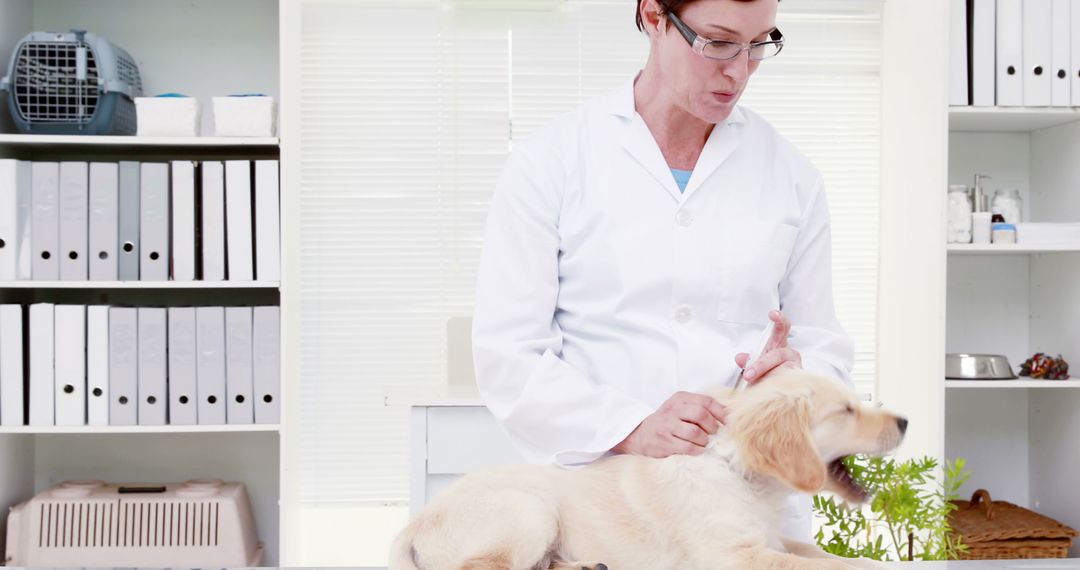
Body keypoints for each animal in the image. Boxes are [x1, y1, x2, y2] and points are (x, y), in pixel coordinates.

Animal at [388, 369, 902, 570]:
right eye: (847, 411)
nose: (905, 422)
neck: (736, 471)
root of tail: (413, 524)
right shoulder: (736, 557)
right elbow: (819, 565)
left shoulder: (775, 541)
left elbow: (827, 555)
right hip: (530, 509)